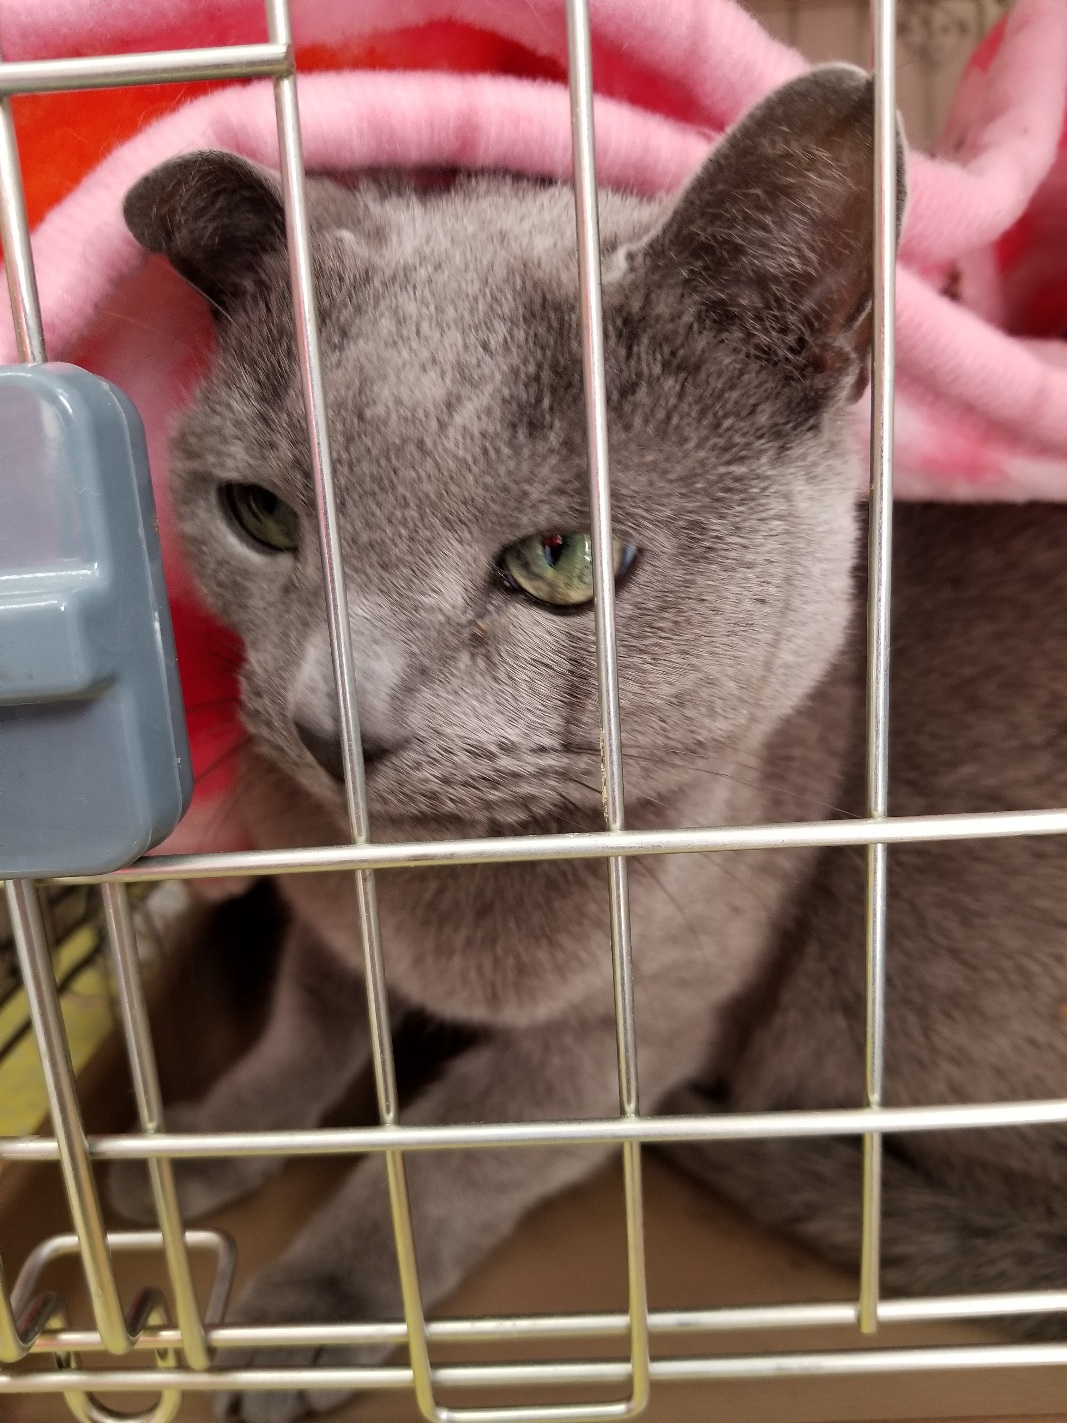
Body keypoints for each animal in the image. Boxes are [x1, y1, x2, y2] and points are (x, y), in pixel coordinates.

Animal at [108, 62, 1067, 1423]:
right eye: (260, 516)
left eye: (560, 559)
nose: (330, 721)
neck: (444, 879)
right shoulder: (325, 916)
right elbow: (306, 1024)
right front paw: (189, 1146)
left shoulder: (647, 1022)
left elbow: (448, 1154)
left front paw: (306, 1314)